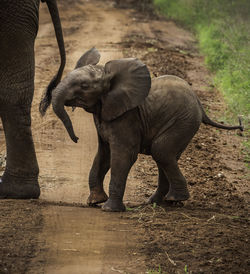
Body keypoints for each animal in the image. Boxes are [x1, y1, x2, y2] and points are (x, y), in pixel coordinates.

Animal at [45, 47, 242, 212]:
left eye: (84, 86)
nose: (76, 138)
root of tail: (200, 104)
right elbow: (103, 155)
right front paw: (94, 201)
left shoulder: (127, 117)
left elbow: (123, 155)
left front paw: (109, 209)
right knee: (166, 156)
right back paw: (159, 202)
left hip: (183, 121)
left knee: (161, 151)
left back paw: (174, 200)